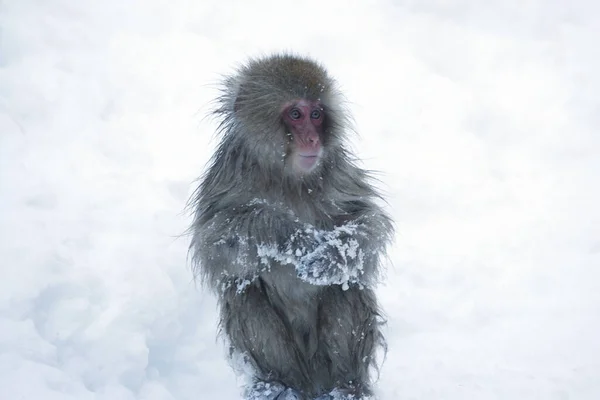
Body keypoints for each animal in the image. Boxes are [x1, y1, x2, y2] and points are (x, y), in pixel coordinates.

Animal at [189, 54, 394, 400]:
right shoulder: (227, 179)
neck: (287, 178)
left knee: (347, 283)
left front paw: (332, 255)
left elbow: (367, 222)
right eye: (295, 114)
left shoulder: (337, 173)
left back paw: (347, 386)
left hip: (322, 364)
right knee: (244, 289)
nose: (312, 139)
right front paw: (289, 236)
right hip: (296, 364)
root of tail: (311, 382)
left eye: (317, 114)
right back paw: (275, 385)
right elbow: (213, 240)